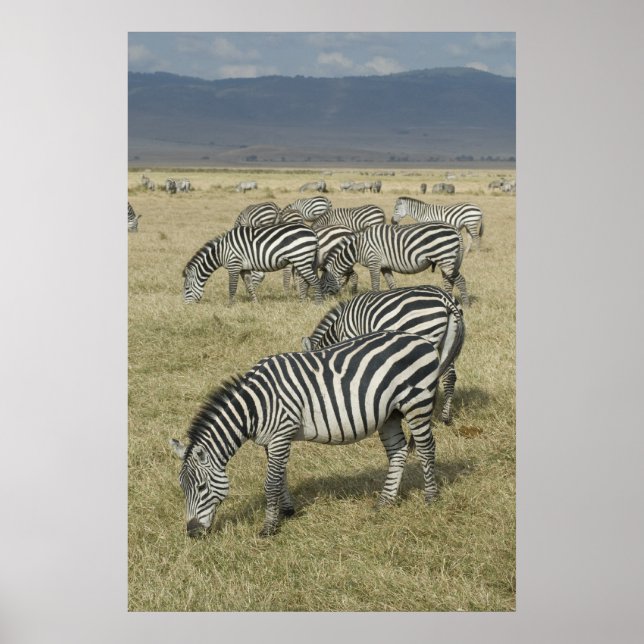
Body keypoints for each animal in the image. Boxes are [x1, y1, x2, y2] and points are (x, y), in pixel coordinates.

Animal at [170, 330, 444, 537]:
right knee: (398, 452)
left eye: (202, 487)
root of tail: (422, 340)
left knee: (426, 447)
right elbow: (280, 476)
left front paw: (269, 527)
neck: (255, 406)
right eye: (182, 488)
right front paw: (287, 511)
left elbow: (271, 482)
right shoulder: (270, 440)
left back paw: (430, 498)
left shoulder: (281, 434)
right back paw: (384, 502)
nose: (192, 533)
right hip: (390, 414)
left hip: (417, 403)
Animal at [182, 222, 322, 305]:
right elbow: (249, 286)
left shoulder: (234, 264)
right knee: (305, 281)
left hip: (301, 258)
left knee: (315, 281)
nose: (186, 307)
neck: (221, 251)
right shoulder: (244, 268)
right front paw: (255, 304)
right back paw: (302, 302)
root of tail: (312, 232)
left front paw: (230, 306)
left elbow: (232, 287)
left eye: (186, 288)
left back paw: (318, 303)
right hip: (302, 260)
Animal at [302, 286, 465, 424]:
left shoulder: (352, 336)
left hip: (424, 336)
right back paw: (445, 418)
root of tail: (445, 298)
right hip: (448, 342)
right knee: (449, 376)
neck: (339, 327)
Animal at [320, 223, 469, 306]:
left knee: (460, 280)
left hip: (445, 258)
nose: (323, 301)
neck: (358, 247)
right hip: (447, 261)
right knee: (449, 281)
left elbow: (375, 285)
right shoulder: (385, 266)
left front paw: (372, 301)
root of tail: (455, 229)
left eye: (323, 282)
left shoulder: (374, 261)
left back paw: (466, 304)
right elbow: (391, 284)